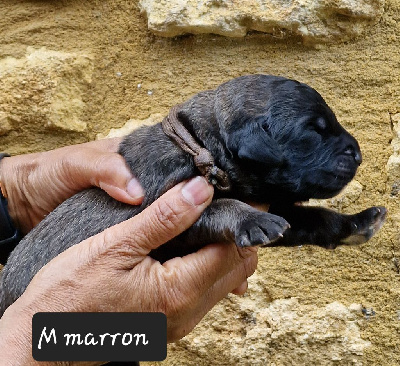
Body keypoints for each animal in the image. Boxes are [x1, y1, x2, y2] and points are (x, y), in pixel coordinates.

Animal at [0, 75, 388, 314]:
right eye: (312, 132)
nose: (358, 153)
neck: (200, 145)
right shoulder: (174, 220)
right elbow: (222, 207)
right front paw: (252, 219)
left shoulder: (279, 205)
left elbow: (313, 217)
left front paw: (357, 222)